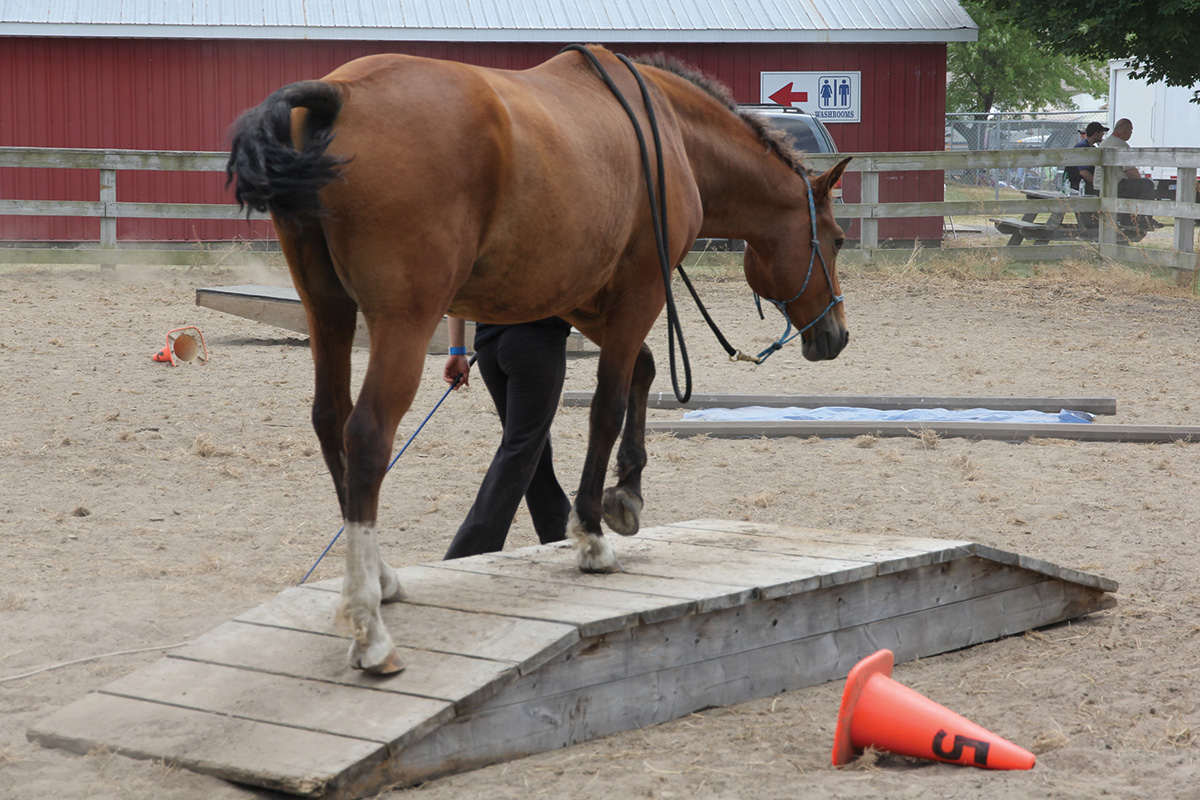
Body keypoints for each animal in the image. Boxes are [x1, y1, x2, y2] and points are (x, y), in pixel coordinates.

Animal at [223, 45, 844, 676]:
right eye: (838, 239)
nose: (836, 334)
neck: (670, 132)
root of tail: (341, 95)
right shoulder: (640, 290)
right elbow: (607, 405)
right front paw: (591, 534)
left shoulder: (579, 297)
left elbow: (643, 370)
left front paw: (626, 493)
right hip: (402, 318)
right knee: (366, 433)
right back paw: (369, 626)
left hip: (327, 308)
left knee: (330, 421)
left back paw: (382, 577)